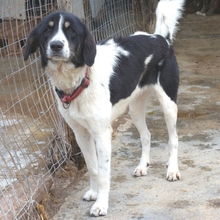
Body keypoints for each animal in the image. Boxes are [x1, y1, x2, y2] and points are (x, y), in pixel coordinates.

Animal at [24, 0, 185, 217]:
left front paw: (101, 205)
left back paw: (172, 170)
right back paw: (142, 166)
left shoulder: (102, 133)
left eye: (71, 31)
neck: (79, 80)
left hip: (168, 103)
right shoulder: (81, 133)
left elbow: (103, 174)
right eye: (46, 30)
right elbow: (93, 168)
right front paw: (94, 193)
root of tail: (160, 38)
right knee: (146, 135)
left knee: (174, 138)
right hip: (135, 108)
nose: (56, 45)